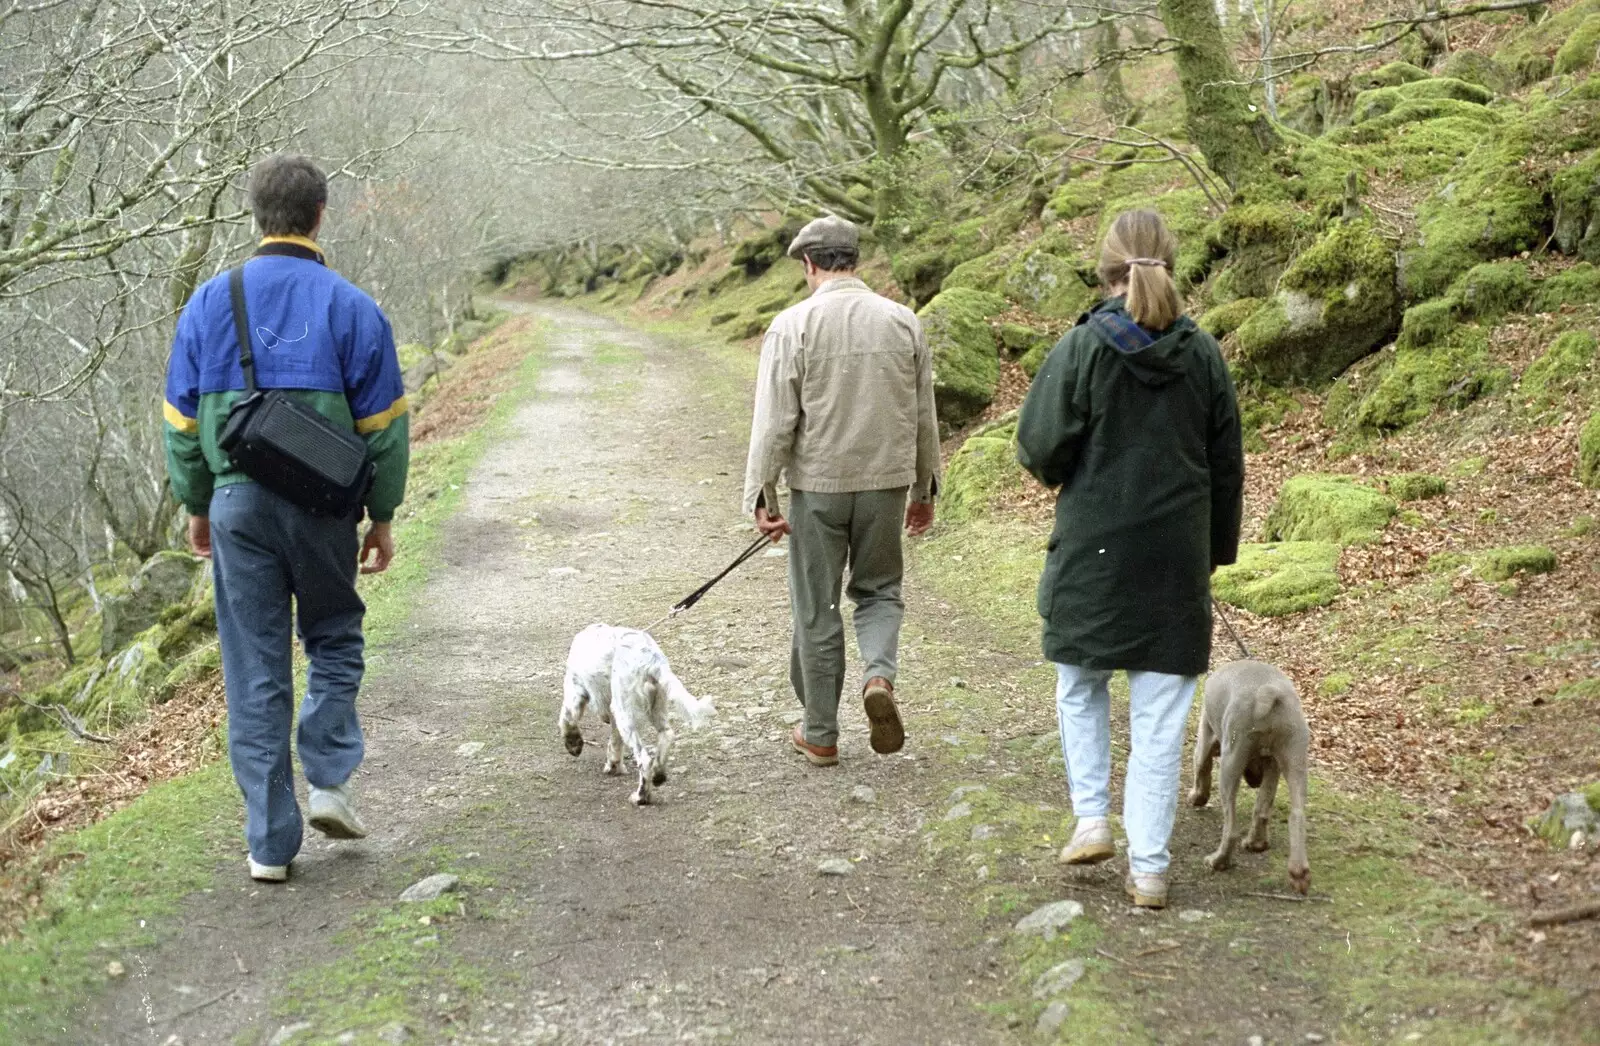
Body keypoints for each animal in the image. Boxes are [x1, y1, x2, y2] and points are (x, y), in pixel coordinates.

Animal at [560, 626, 716, 806]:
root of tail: (651, 661)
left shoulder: (576, 691)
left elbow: (566, 719)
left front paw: (573, 744)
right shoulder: (613, 711)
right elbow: (615, 742)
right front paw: (614, 765)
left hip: (626, 714)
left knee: (644, 759)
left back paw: (641, 796)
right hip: (654, 706)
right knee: (667, 735)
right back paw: (658, 774)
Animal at [1190, 665, 1312, 895]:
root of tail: (1269, 692)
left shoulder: (1205, 734)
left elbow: (1201, 767)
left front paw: (1196, 797)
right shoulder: (1272, 765)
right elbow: (1263, 805)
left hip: (1231, 760)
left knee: (1231, 829)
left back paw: (1217, 861)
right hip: (1294, 758)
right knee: (1293, 815)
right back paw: (1294, 870)